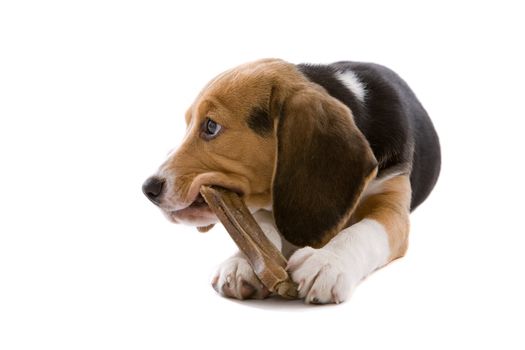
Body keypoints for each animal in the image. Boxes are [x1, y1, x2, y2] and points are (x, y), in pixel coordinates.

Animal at [142, 58, 438, 304]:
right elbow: (261, 224)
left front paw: (328, 262)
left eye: (211, 127)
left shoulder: (392, 202)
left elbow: (364, 231)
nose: (148, 188)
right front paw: (243, 262)